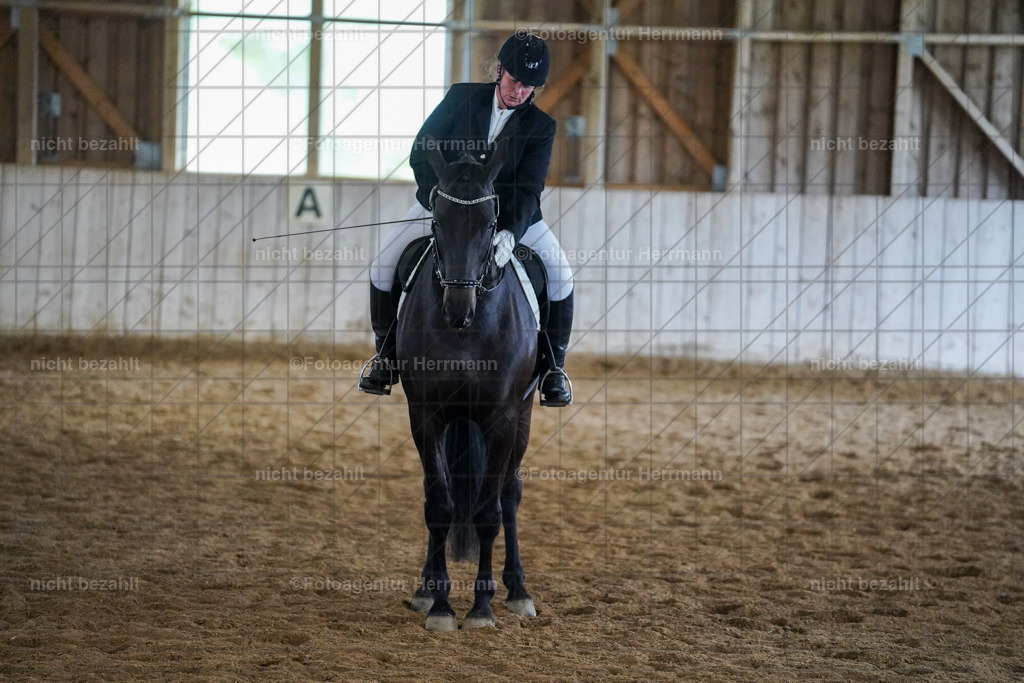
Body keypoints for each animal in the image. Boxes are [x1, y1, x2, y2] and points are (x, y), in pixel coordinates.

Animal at [396, 136, 539, 631]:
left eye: (492, 223)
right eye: (438, 221)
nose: (458, 309)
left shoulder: (502, 418)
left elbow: (488, 513)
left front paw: (481, 608)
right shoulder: (425, 415)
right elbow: (438, 506)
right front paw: (440, 604)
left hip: (524, 416)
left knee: (511, 493)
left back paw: (518, 591)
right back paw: (425, 589)